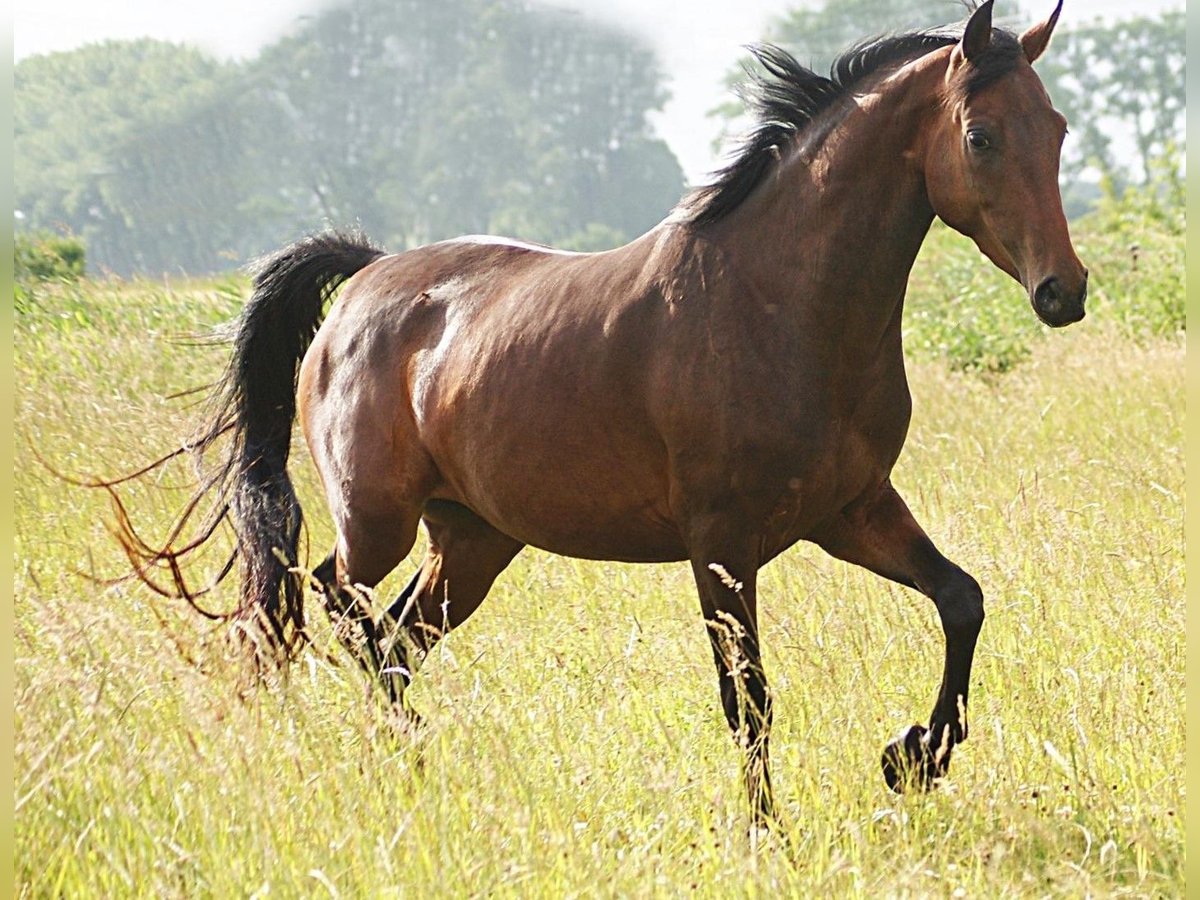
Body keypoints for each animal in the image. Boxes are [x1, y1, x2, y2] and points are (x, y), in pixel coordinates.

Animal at [112, 1, 1089, 830]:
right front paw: (769, 829)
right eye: (981, 135)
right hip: (378, 518)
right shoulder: (722, 543)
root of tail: (363, 282)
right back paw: (410, 750)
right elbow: (749, 697)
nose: (1064, 292)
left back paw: (410, 767)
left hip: (472, 542)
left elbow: (961, 600)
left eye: (1059, 129)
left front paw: (913, 756)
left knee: (391, 636)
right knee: (338, 601)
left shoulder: (852, 510)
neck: (779, 305)